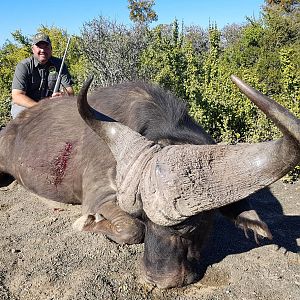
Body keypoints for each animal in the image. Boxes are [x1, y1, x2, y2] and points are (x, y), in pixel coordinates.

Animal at [0, 75, 298, 288]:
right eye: (144, 217)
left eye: (192, 226)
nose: (157, 280)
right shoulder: (100, 197)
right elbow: (132, 230)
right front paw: (87, 222)